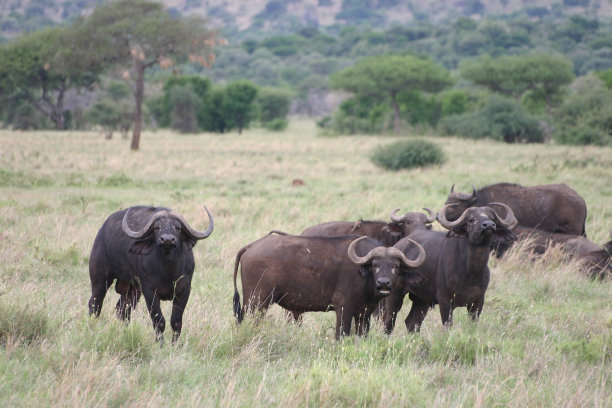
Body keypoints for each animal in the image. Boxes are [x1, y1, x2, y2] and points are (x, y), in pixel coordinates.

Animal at [87, 206, 214, 342]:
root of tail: (102, 231)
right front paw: (160, 343)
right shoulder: (149, 292)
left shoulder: (184, 290)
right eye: (157, 227)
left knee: (122, 310)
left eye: (178, 228)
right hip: (100, 279)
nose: (167, 239)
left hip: (132, 289)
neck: (169, 271)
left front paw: (175, 345)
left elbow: (176, 322)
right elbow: (159, 321)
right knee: (95, 305)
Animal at [231, 231, 426, 340]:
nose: (383, 283)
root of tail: (251, 246)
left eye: (395, 266)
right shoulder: (344, 308)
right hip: (258, 303)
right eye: (375, 265)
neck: (363, 274)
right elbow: (341, 334)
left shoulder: (364, 313)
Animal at [380, 202, 520, 334]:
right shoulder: (445, 301)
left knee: (412, 322)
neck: (471, 271)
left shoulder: (478, 302)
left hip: (422, 299)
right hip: (395, 294)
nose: (489, 225)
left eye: (492, 218)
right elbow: (447, 325)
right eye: (471, 219)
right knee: (389, 321)